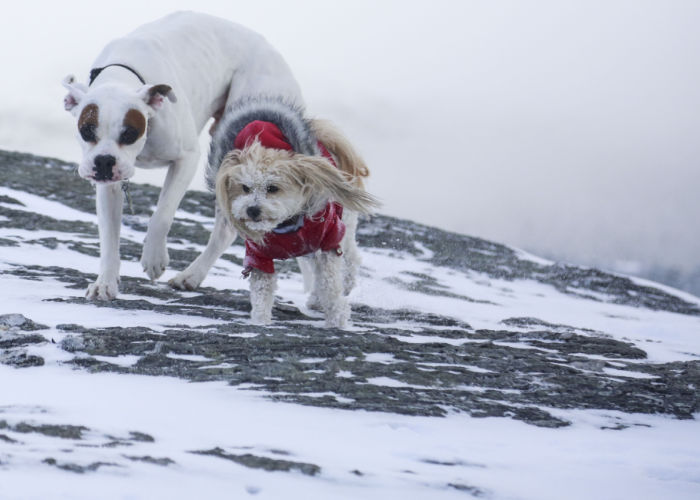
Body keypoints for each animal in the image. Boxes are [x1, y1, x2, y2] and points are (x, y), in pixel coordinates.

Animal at [60, 11, 300, 298]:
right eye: (86, 130)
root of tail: (272, 51)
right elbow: (109, 236)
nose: (105, 161)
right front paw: (105, 283)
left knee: (225, 229)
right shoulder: (108, 185)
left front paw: (154, 258)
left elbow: (162, 215)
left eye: (129, 133)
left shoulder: (186, 159)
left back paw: (191, 275)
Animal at [211, 96, 380, 328]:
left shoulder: (328, 238)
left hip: (341, 227)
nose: (252, 210)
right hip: (309, 247)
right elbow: (262, 291)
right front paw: (260, 322)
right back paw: (316, 299)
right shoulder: (258, 255)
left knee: (350, 259)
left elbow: (330, 283)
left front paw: (337, 319)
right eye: (245, 187)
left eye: (273, 188)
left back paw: (345, 285)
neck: (285, 226)